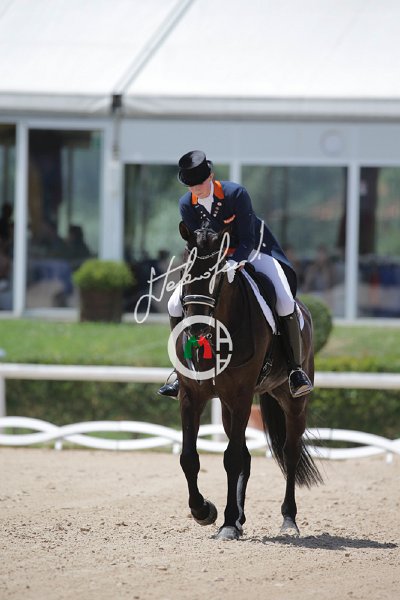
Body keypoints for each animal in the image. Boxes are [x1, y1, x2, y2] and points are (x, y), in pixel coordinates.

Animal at [173, 221, 322, 541]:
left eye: (218, 273)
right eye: (184, 270)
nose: (196, 327)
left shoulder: (240, 395)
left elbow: (231, 459)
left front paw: (227, 523)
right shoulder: (191, 396)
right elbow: (189, 457)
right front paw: (205, 512)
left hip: (293, 402)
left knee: (289, 454)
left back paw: (288, 520)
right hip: (229, 408)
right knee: (246, 455)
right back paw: (240, 518)